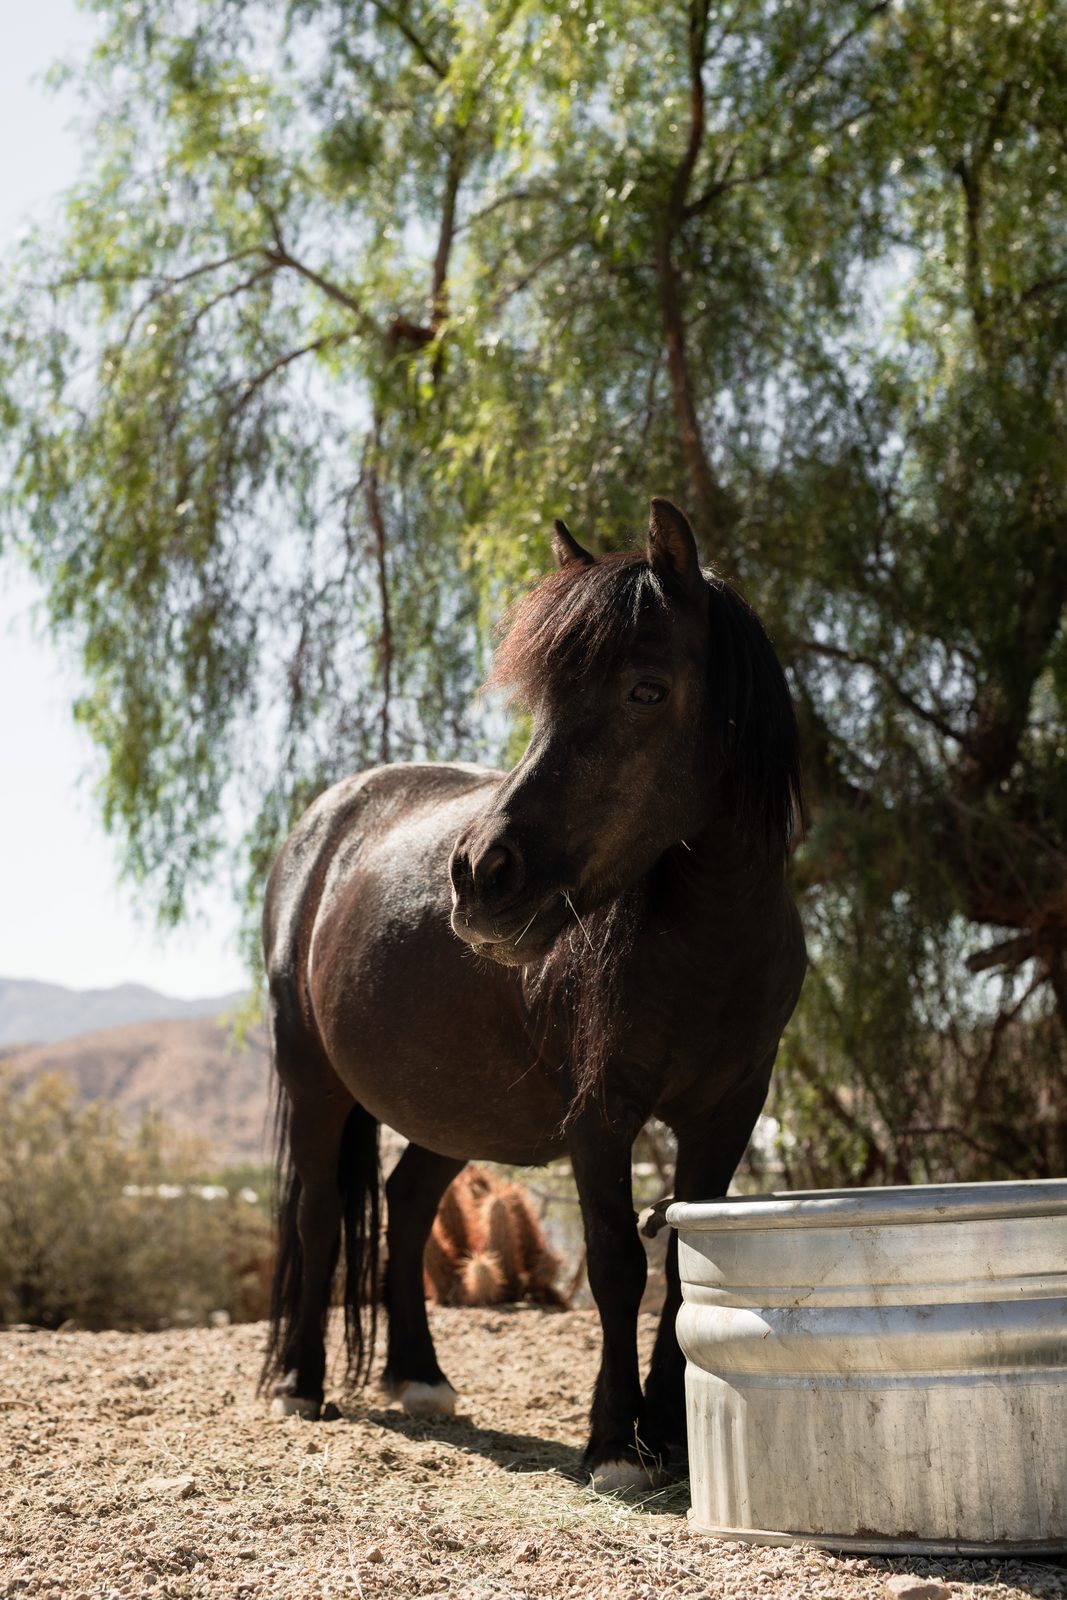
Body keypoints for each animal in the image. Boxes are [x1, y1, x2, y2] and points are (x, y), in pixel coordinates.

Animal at [261, 496, 806, 1489]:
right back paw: (299, 1385)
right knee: (320, 1215)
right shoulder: (599, 1115)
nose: (478, 876)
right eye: (543, 699)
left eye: (645, 690)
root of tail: (328, 820)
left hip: (451, 1109)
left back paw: (419, 1378)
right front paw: (614, 1443)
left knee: (406, 1200)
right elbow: (616, 1263)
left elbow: (684, 1266)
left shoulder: (729, 1112)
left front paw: (668, 1436)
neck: (707, 950)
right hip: (312, 1081)